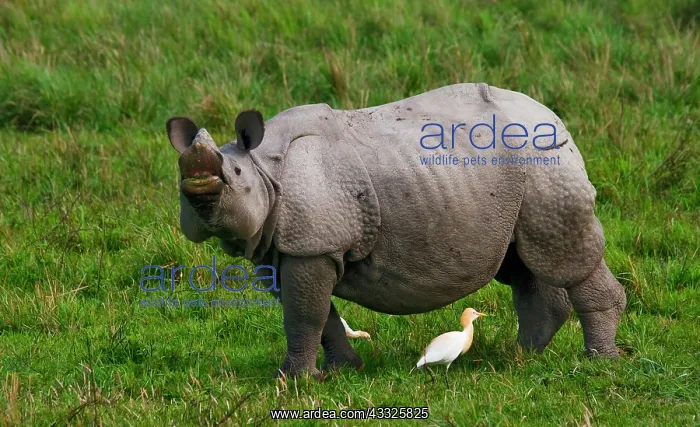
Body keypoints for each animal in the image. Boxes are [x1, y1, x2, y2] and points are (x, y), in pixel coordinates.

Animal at [165, 83, 626, 378]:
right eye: (181, 183)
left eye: (235, 175)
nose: (199, 191)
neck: (264, 167)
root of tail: (554, 117)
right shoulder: (280, 248)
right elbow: (319, 313)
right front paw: (342, 370)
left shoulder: (312, 244)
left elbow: (303, 313)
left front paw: (292, 381)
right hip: (518, 172)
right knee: (522, 262)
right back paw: (521, 357)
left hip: (545, 160)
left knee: (564, 257)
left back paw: (599, 363)